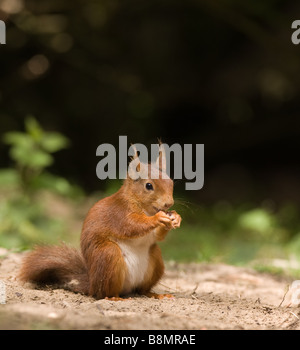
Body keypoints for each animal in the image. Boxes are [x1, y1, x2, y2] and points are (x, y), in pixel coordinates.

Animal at [19, 146, 183, 300]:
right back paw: (114, 298)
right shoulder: (119, 213)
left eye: (171, 183)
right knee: (103, 293)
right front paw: (158, 218)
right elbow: (132, 226)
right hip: (109, 255)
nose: (169, 203)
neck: (146, 209)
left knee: (142, 290)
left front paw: (176, 218)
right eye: (149, 186)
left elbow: (156, 236)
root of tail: (91, 283)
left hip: (155, 259)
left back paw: (155, 294)